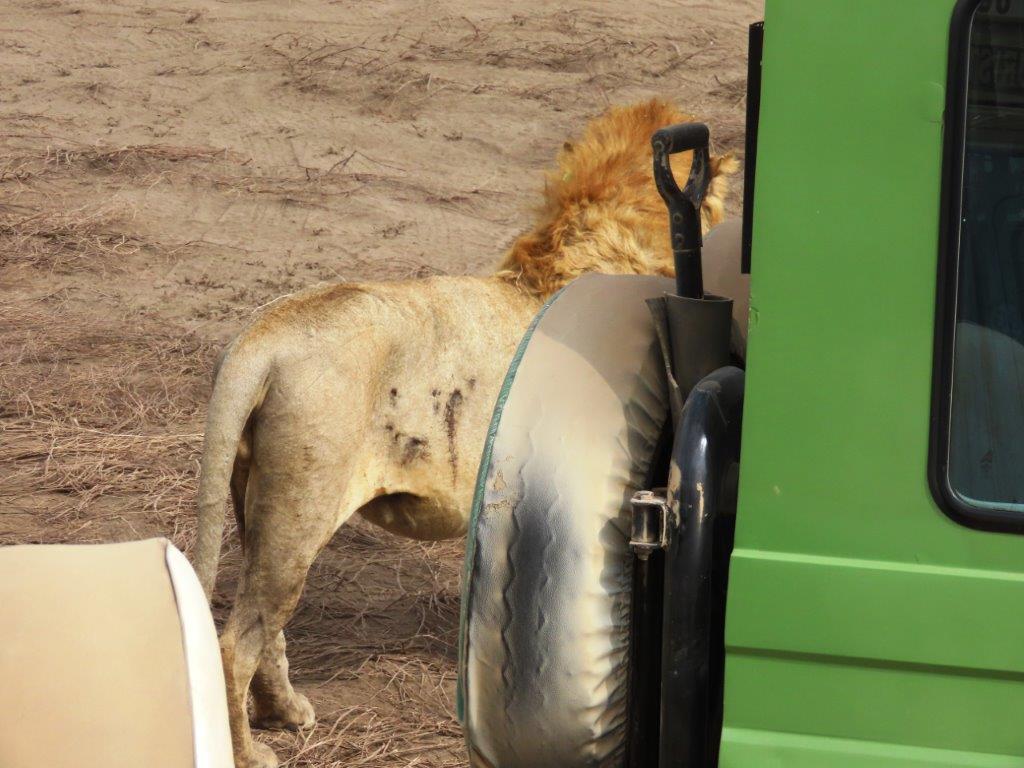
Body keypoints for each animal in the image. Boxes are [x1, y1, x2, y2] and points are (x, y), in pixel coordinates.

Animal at [192, 98, 737, 768]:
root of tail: (260, 337)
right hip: (302, 504)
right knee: (237, 641)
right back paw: (252, 753)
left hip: (258, 503)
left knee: (266, 628)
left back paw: (287, 713)